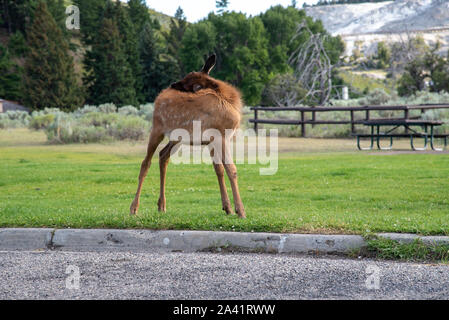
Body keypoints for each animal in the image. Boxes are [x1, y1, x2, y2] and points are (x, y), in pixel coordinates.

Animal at [130, 56, 247, 219]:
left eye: (188, 80)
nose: (173, 84)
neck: (229, 101)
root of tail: (158, 98)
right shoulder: (220, 136)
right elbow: (231, 169)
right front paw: (240, 211)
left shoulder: (213, 140)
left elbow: (219, 169)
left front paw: (227, 208)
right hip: (157, 129)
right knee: (145, 163)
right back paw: (134, 208)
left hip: (176, 138)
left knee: (163, 155)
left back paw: (161, 205)